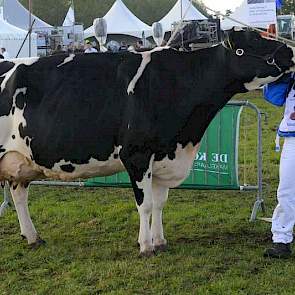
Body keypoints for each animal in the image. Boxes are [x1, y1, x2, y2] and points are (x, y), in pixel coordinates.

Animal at [0, 30, 294, 256]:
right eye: (253, 41)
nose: (290, 52)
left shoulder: (165, 156)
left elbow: (160, 203)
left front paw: (160, 241)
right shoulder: (137, 155)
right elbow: (146, 204)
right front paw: (145, 246)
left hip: (20, 161)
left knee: (18, 195)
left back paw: (33, 237)